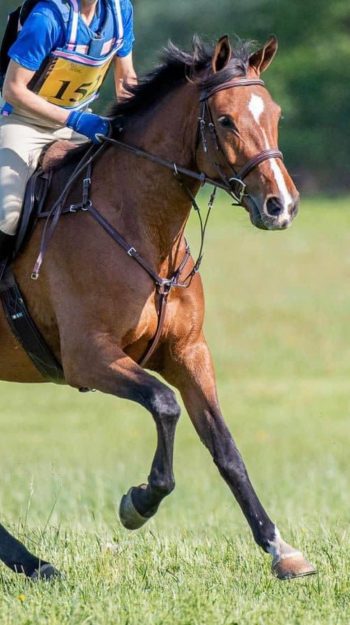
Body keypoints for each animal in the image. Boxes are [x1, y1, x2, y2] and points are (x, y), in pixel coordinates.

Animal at [0, 34, 316, 580]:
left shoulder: (188, 351)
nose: (282, 206)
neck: (143, 228)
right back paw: (31, 562)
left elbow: (224, 446)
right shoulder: (88, 357)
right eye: (226, 120)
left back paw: (32, 563)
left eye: (274, 113)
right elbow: (164, 405)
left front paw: (281, 548)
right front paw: (139, 503)